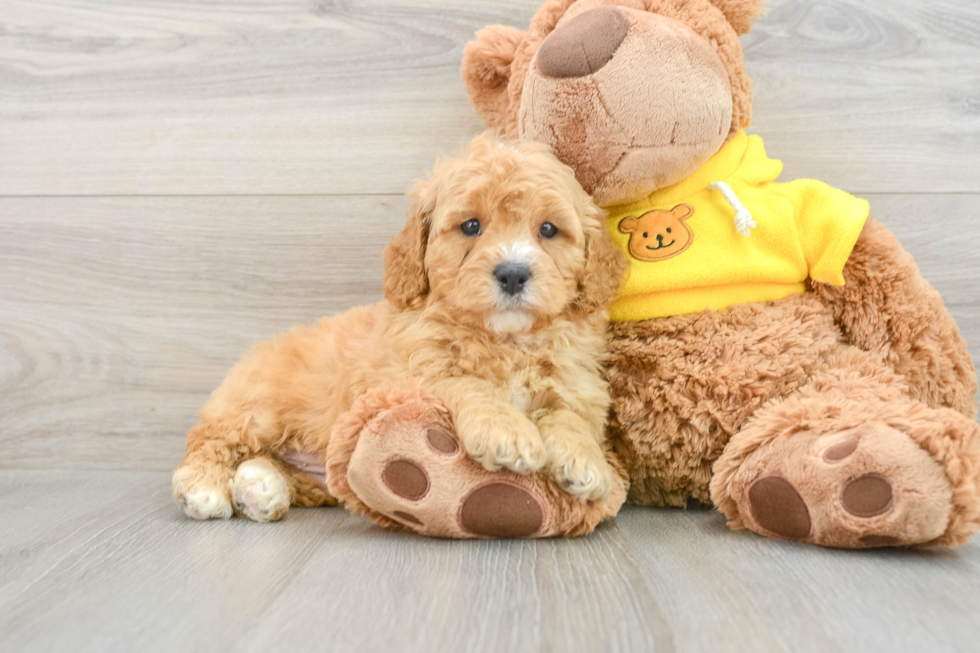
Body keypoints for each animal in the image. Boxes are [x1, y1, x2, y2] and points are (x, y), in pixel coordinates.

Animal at [172, 131, 624, 520]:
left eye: (548, 229)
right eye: (471, 226)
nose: (513, 274)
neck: (505, 340)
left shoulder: (578, 384)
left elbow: (571, 415)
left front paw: (583, 459)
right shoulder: (407, 375)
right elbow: (465, 382)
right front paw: (505, 430)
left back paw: (260, 488)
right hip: (256, 408)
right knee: (210, 440)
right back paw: (205, 487)